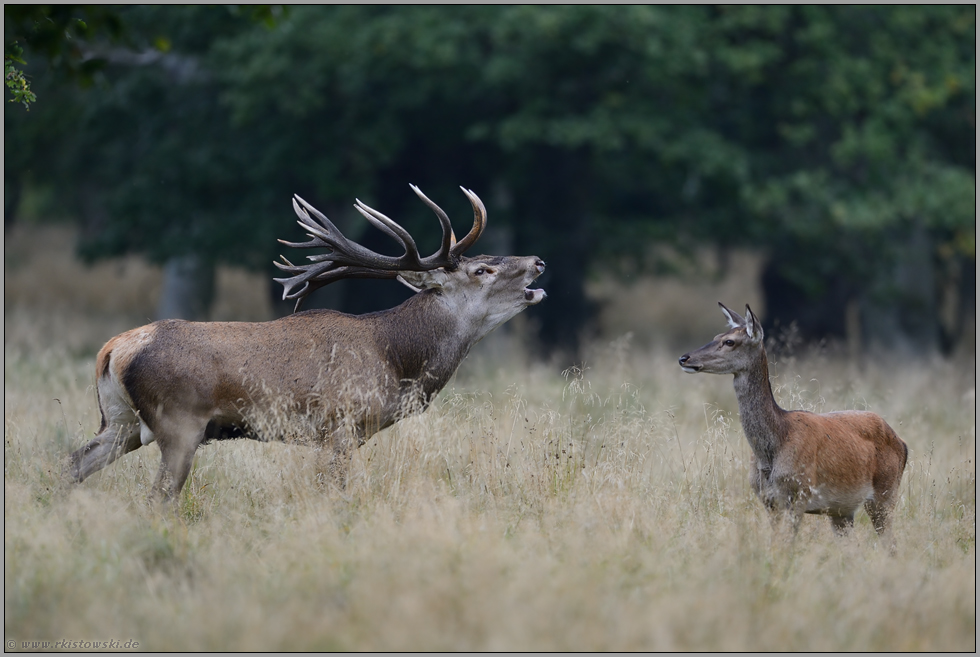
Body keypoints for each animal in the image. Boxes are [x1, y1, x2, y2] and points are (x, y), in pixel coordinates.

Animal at [68, 187, 544, 500]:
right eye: (481, 269)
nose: (538, 261)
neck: (394, 360)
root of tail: (112, 350)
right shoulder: (339, 426)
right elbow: (333, 495)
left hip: (119, 421)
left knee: (73, 462)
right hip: (178, 422)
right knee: (158, 497)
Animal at [676, 302, 908, 540]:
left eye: (729, 341)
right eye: (716, 336)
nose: (684, 358)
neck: (775, 445)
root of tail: (902, 443)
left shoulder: (799, 494)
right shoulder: (768, 500)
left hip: (885, 493)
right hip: (842, 510)